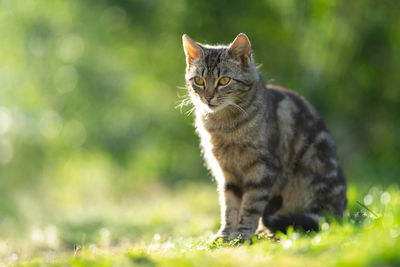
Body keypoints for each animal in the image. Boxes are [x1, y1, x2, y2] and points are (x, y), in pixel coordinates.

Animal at [182, 33, 346, 241]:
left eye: (224, 80)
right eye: (199, 81)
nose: (208, 97)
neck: (225, 127)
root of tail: (340, 213)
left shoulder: (261, 171)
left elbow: (250, 207)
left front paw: (242, 235)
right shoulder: (227, 175)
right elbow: (229, 208)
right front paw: (225, 236)